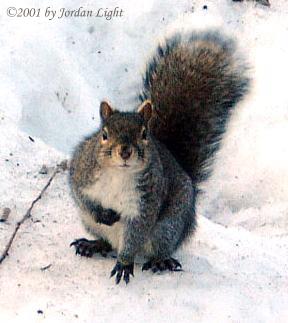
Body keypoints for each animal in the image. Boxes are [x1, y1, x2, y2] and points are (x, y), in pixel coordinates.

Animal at [68, 29, 249, 284]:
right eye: (104, 134)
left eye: (144, 134)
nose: (125, 151)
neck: (117, 174)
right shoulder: (82, 172)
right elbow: (81, 195)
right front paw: (103, 213)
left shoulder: (145, 203)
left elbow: (135, 233)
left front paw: (124, 263)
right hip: (89, 223)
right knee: (105, 240)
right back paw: (93, 244)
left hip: (168, 227)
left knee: (156, 247)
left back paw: (160, 261)